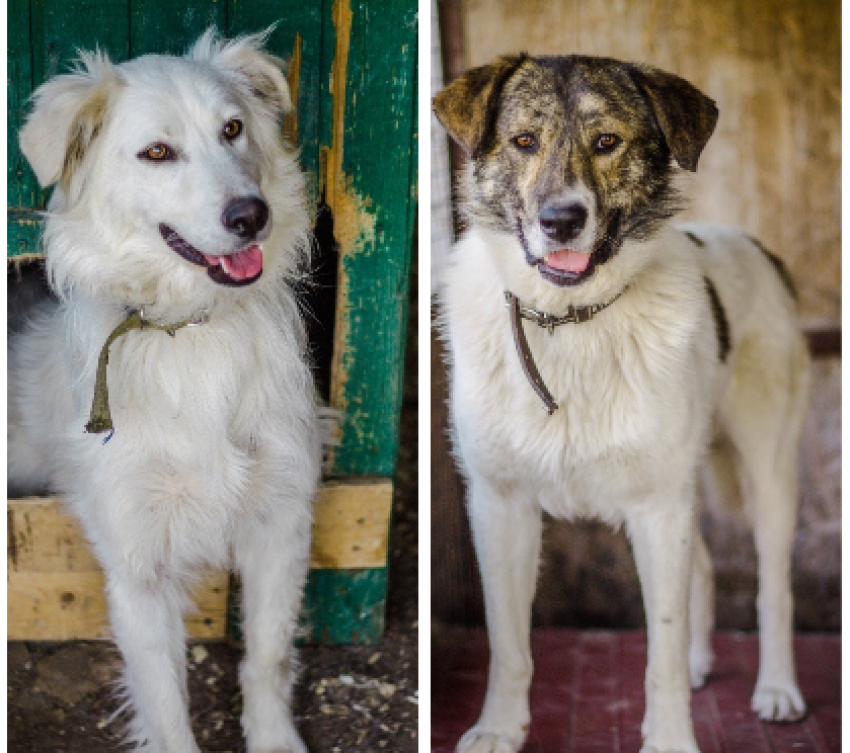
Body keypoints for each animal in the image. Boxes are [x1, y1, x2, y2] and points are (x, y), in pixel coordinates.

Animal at [8, 29, 320, 752]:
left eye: (233, 129)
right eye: (157, 152)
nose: (251, 214)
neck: (191, 329)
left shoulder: (281, 521)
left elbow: (267, 655)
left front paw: (273, 739)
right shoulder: (137, 567)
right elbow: (167, 704)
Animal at [434, 54, 804, 752]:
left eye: (608, 141)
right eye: (524, 141)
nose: (561, 221)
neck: (569, 319)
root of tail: (758, 248)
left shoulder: (658, 507)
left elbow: (660, 651)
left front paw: (671, 739)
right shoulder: (500, 505)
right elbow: (507, 643)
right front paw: (498, 728)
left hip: (767, 469)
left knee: (773, 588)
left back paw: (777, 688)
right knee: (703, 571)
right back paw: (701, 666)